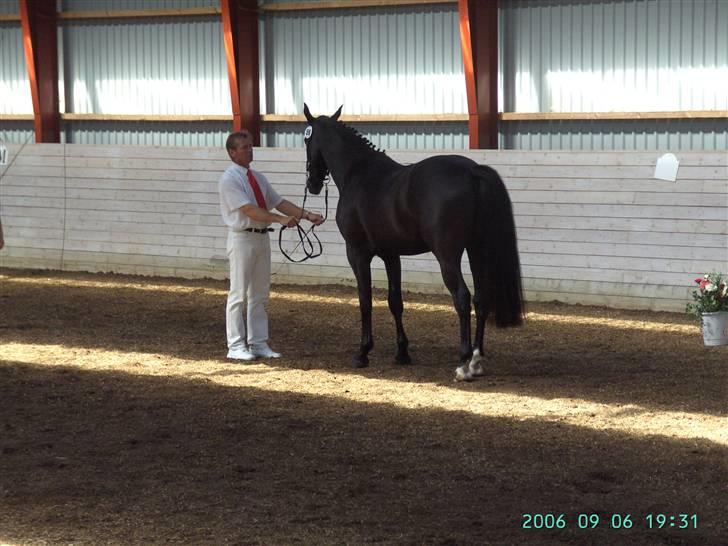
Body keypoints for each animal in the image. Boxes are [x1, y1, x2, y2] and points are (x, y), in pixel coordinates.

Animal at [302, 105, 524, 378]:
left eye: (307, 140)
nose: (312, 183)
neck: (359, 173)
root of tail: (472, 171)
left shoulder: (357, 253)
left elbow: (365, 300)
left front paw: (363, 353)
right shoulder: (391, 254)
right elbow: (395, 301)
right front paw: (402, 352)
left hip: (447, 255)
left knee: (462, 297)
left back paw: (463, 362)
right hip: (477, 250)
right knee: (481, 299)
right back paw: (476, 359)